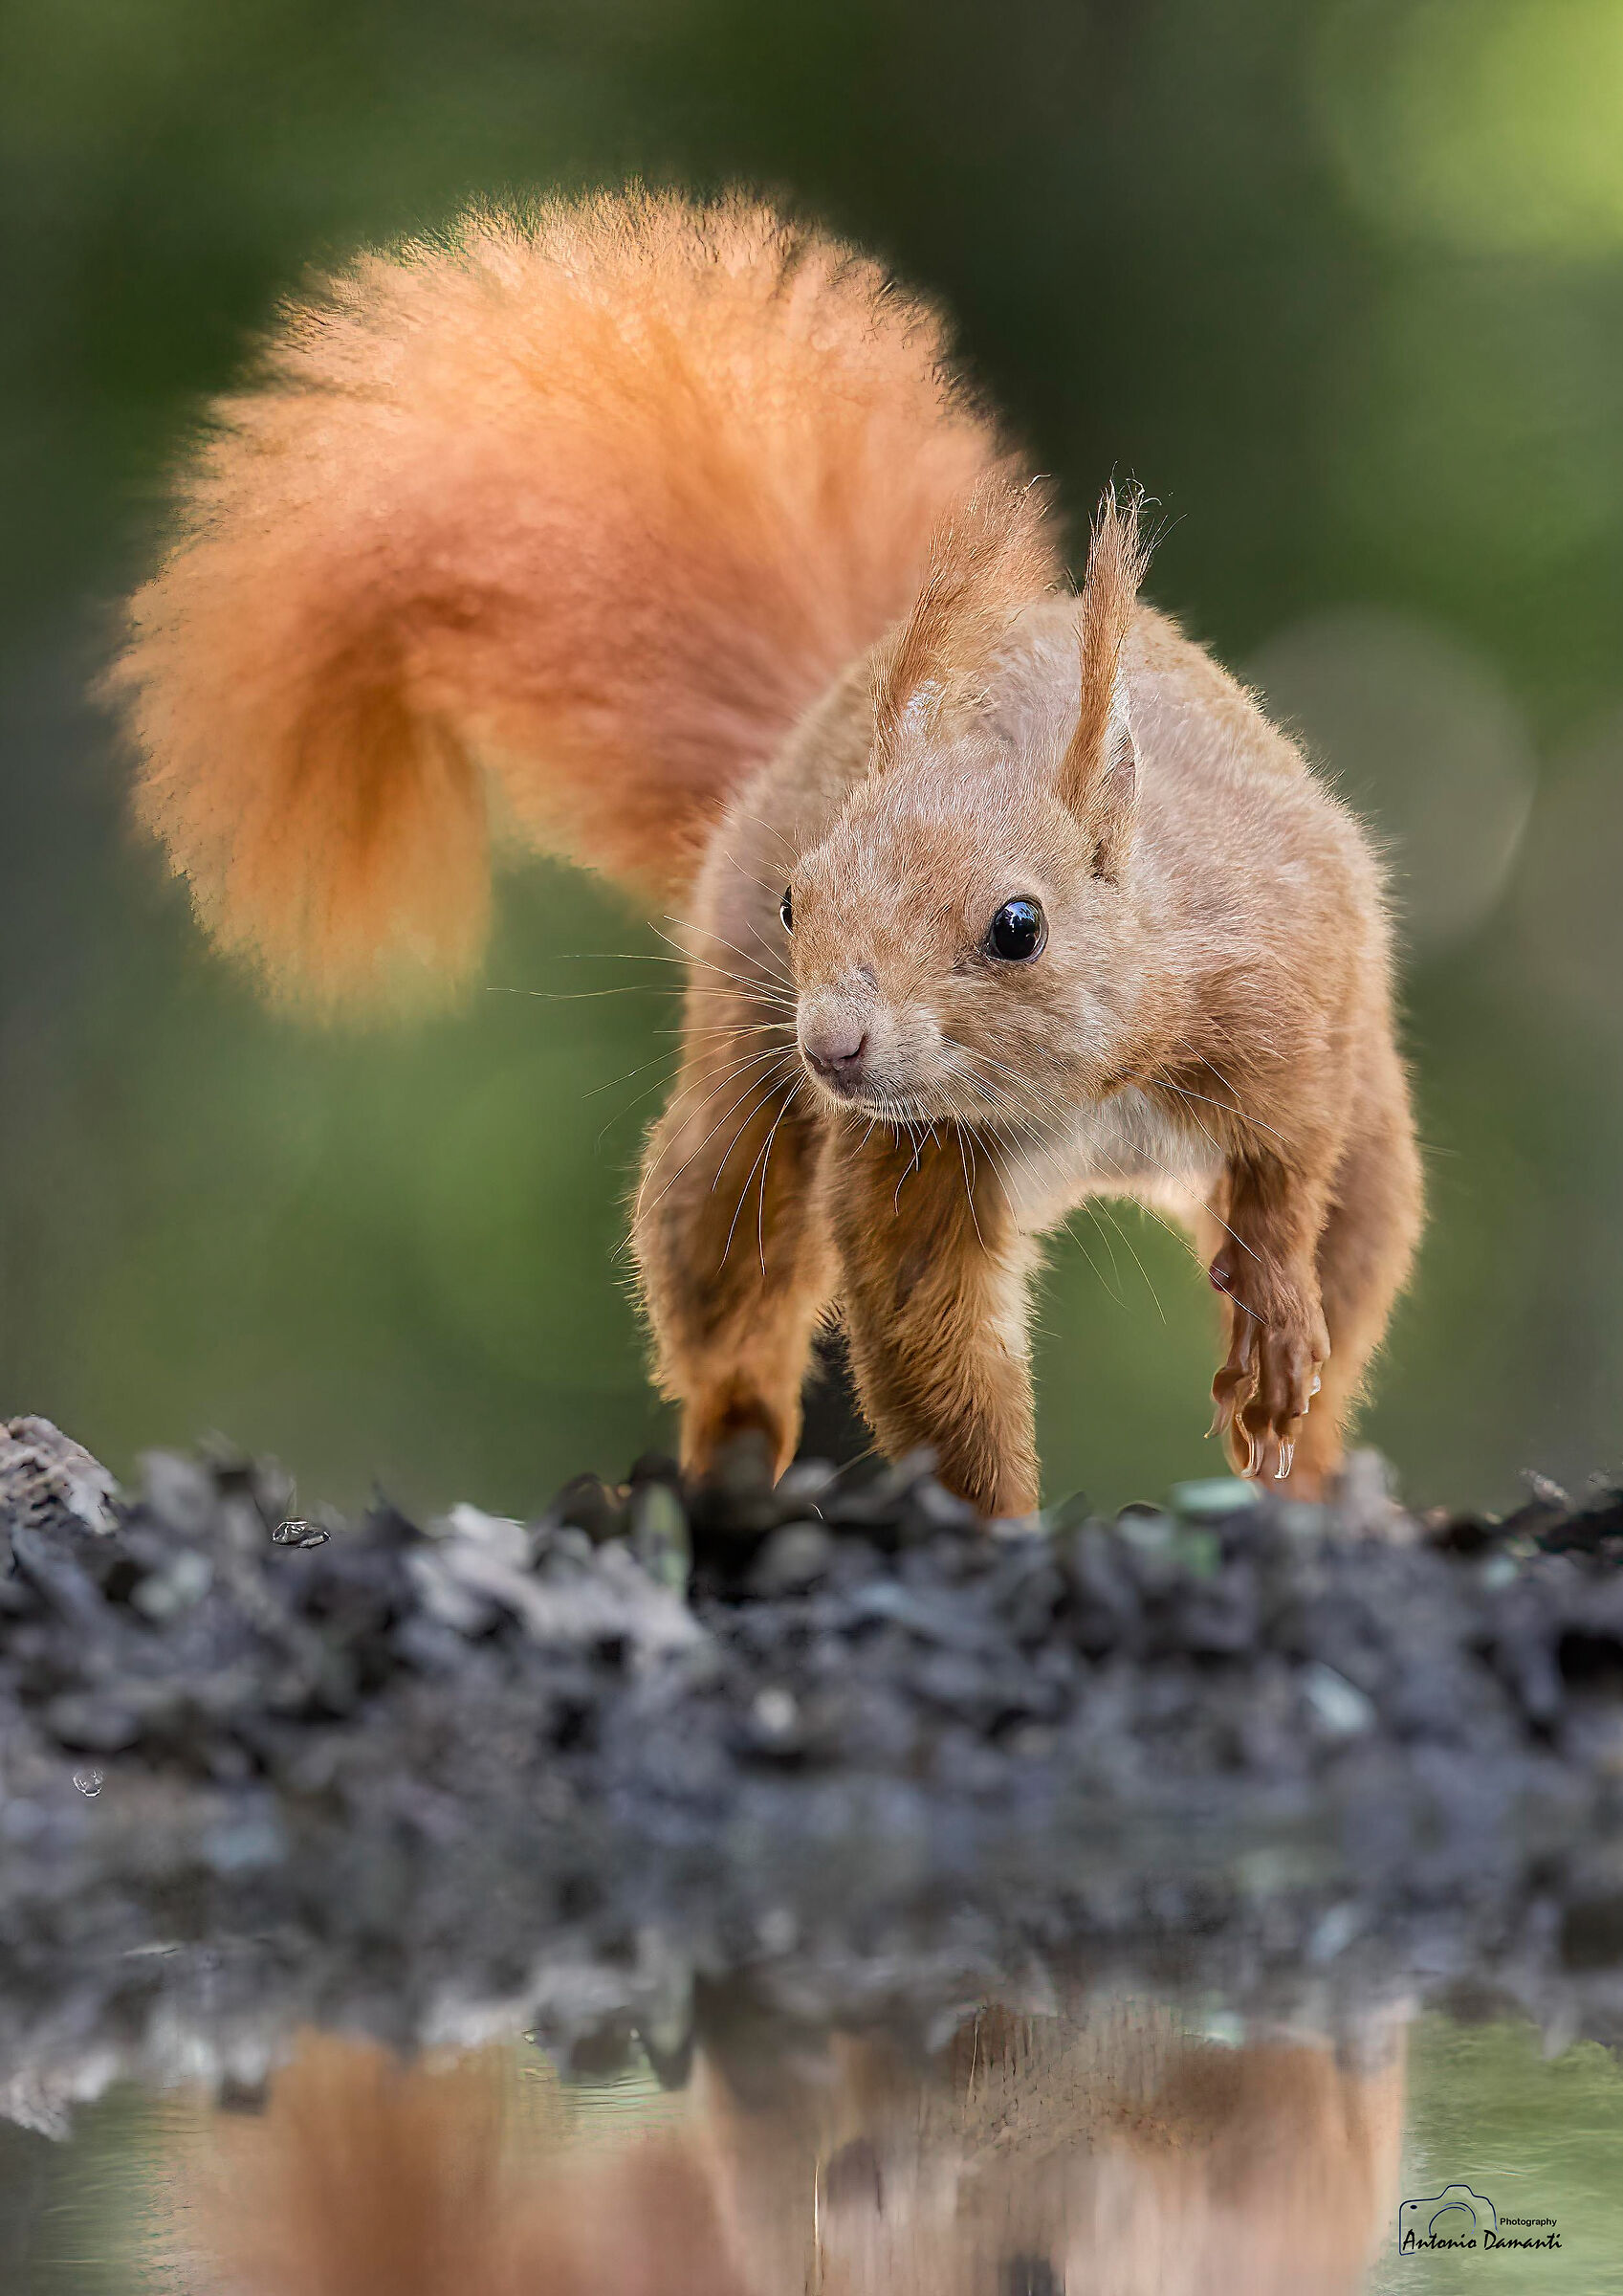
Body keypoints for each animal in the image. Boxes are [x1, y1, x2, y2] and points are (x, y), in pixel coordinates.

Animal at [114, 187, 1424, 1516]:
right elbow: (929, 1338)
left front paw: (1271, 1329)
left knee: (1350, 1241)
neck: (1069, 1089)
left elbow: (1284, 1166)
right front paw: (989, 1522)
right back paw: (725, 1459)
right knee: (725, 1284)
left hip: (1376, 1152)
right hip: (732, 1115)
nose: (832, 1047)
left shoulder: (1278, 999)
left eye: (1018, 927)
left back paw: (1306, 1468)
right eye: (799, 902)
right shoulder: (910, 1160)